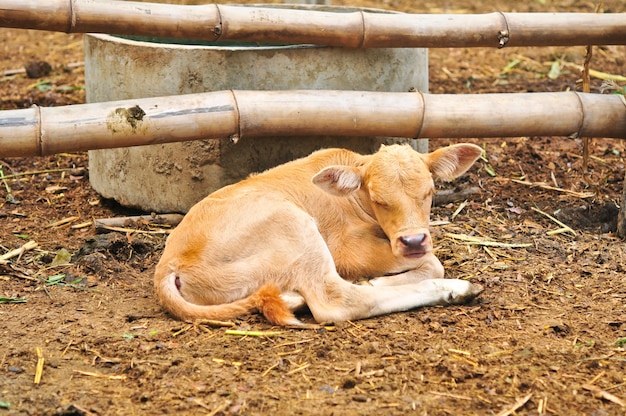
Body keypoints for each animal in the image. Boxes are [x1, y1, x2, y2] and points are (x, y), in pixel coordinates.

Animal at [155, 143, 482, 324]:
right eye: (379, 199)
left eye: (430, 191)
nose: (413, 241)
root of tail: (168, 266)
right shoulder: (346, 249)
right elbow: (433, 263)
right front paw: (376, 279)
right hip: (296, 230)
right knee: (337, 301)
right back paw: (458, 289)